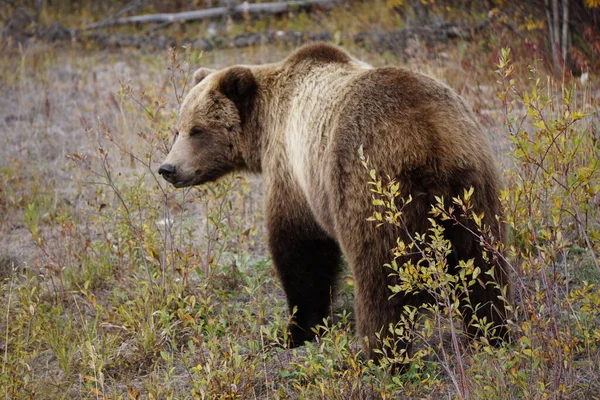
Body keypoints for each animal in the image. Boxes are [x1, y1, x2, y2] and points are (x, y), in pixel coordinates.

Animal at [157, 42, 508, 360]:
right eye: (178, 129)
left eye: (197, 130)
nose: (168, 168)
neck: (267, 126)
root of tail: (429, 137)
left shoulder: (294, 171)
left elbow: (301, 250)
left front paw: (294, 331)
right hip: (473, 189)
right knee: (483, 265)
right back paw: (490, 334)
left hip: (370, 188)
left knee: (380, 276)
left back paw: (380, 354)